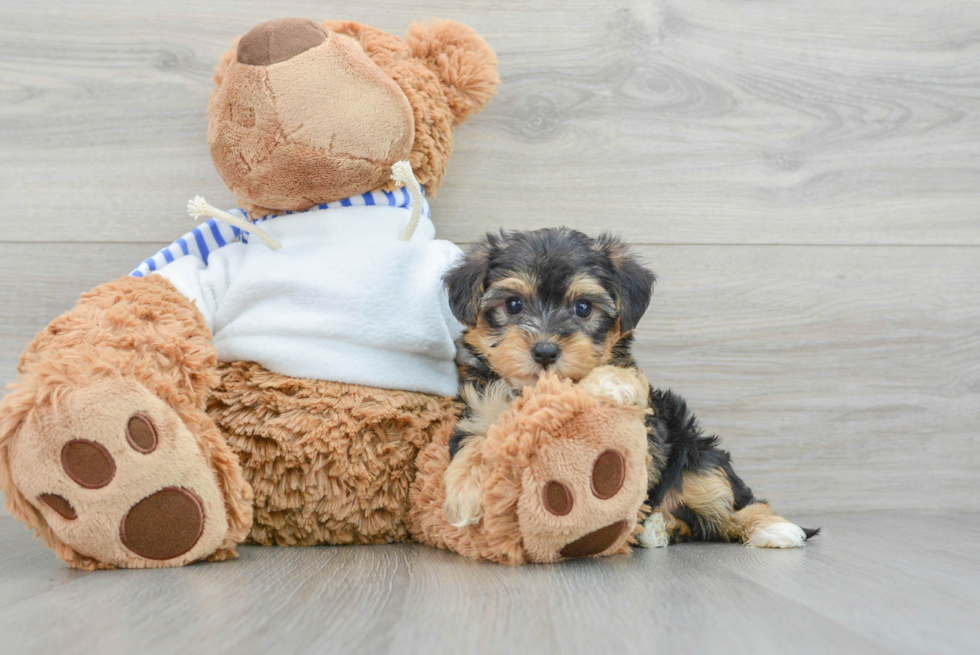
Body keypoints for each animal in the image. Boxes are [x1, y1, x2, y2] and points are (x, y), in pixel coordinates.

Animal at [440, 229, 816, 548]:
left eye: (583, 308)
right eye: (514, 305)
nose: (545, 351)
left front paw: (612, 384)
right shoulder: (480, 407)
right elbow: (479, 440)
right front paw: (464, 493)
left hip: (694, 455)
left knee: (720, 496)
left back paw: (772, 528)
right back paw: (656, 528)